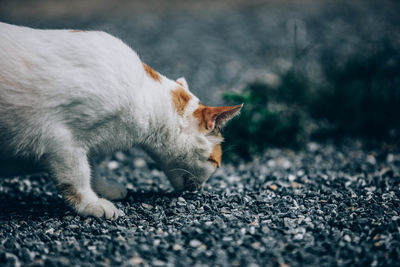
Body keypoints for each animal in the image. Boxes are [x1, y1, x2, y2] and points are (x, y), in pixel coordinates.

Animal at [0, 22, 241, 220]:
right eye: (215, 162)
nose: (199, 190)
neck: (144, 96)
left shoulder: (82, 145)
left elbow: (91, 167)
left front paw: (104, 189)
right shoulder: (62, 140)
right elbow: (78, 175)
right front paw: (91, 204)